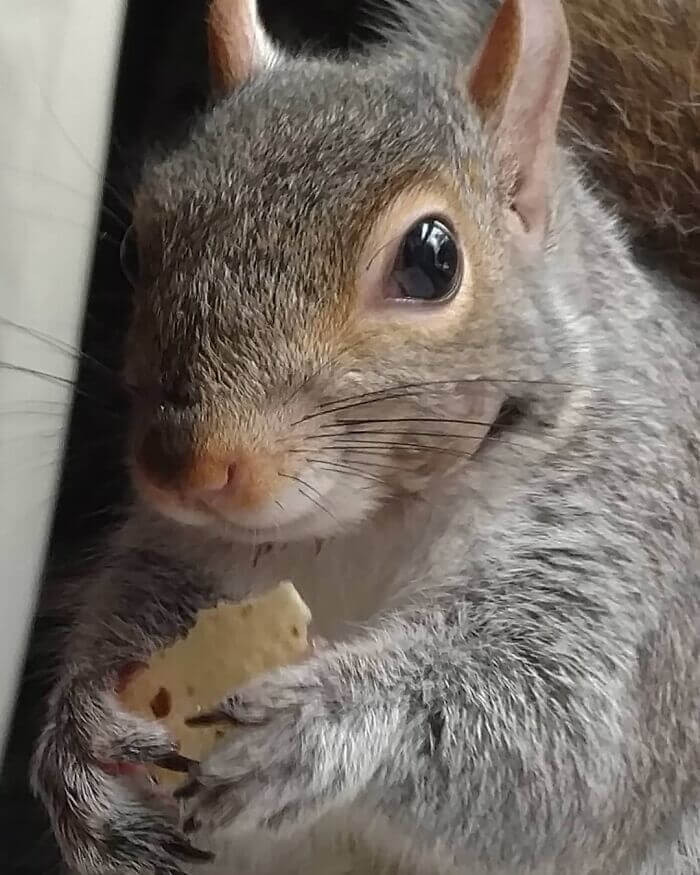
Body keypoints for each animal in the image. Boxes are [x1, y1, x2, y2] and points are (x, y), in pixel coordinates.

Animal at [31, 0, 700, 873]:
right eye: (135, 249)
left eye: (432, 259)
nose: (189, 469)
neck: (367, 523)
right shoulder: (182, 546)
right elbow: (130, 604)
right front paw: (82, 733)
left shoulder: (628, 552)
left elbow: (569, 744)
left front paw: (325, 719)